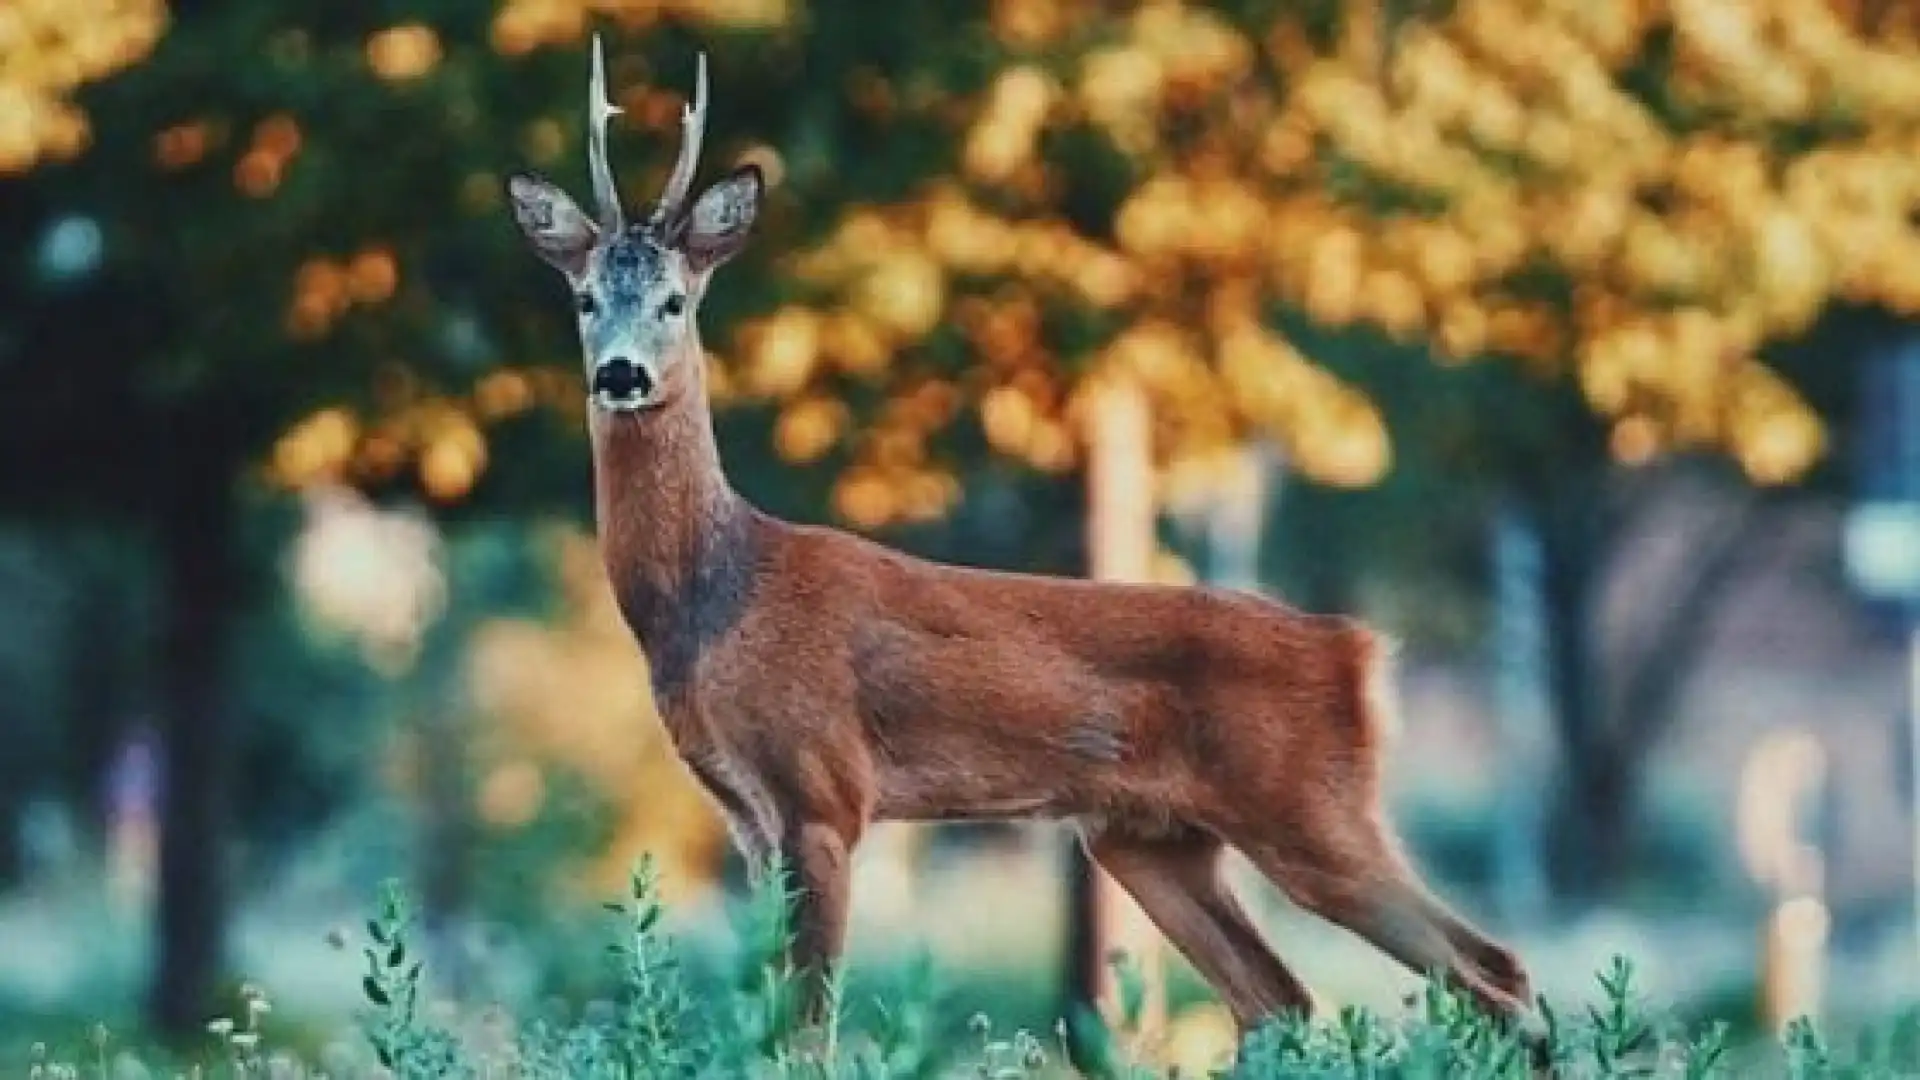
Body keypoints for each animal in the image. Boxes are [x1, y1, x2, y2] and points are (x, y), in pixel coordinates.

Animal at [506, 35, 1528, 1053]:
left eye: (675, 301)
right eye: (586, 298)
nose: (622, 375)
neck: (716, 597)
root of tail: (1361, 651)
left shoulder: (824, 789)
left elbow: (808, 1027)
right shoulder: (745, 815)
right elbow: (768, 1021)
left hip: (1310, 806)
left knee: (1492, 971)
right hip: (1148, 838)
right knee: (1279, 998)